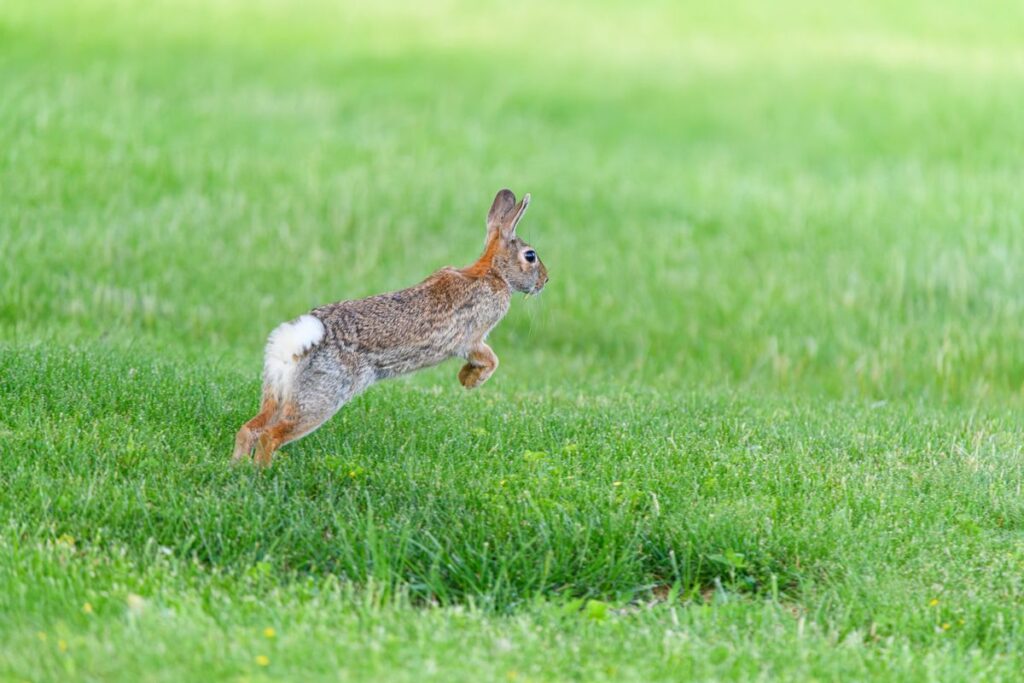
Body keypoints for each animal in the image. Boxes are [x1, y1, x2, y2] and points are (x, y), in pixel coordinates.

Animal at [232, 188, 548, 467]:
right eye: (530, 256)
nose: (546, 280)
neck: (493, 272)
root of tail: (293, 345)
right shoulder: (471, 339)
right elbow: (491, 359)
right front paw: (469, 381)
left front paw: (465, 379)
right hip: (320, 398)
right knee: (270, 436)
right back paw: (263, 471)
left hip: (277, 393)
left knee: (250, 428)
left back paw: (238, 467)